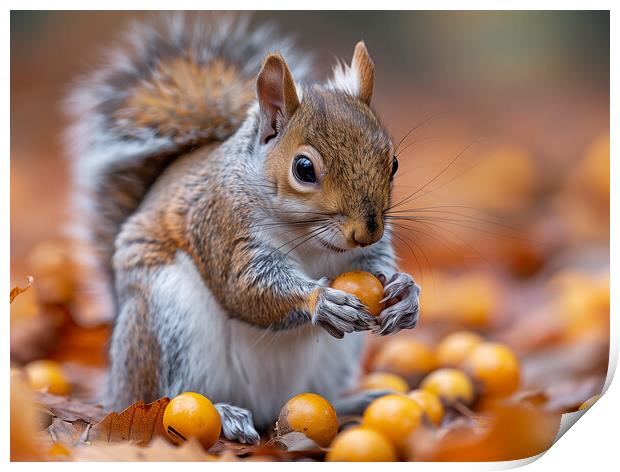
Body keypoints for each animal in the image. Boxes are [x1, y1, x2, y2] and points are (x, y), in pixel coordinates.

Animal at [65, 13, 418, 442]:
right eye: (304, 169)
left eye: (393, 163)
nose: (366, 230)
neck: (310, 239)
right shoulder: (222, 224)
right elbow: (244, 287)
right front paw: (320, 301)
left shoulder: (366, 252)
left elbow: (377, 263)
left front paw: (406, 292)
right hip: (167, 322)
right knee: (164, 396)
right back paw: (223, 412)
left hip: (330, 363)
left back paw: (353, 401)